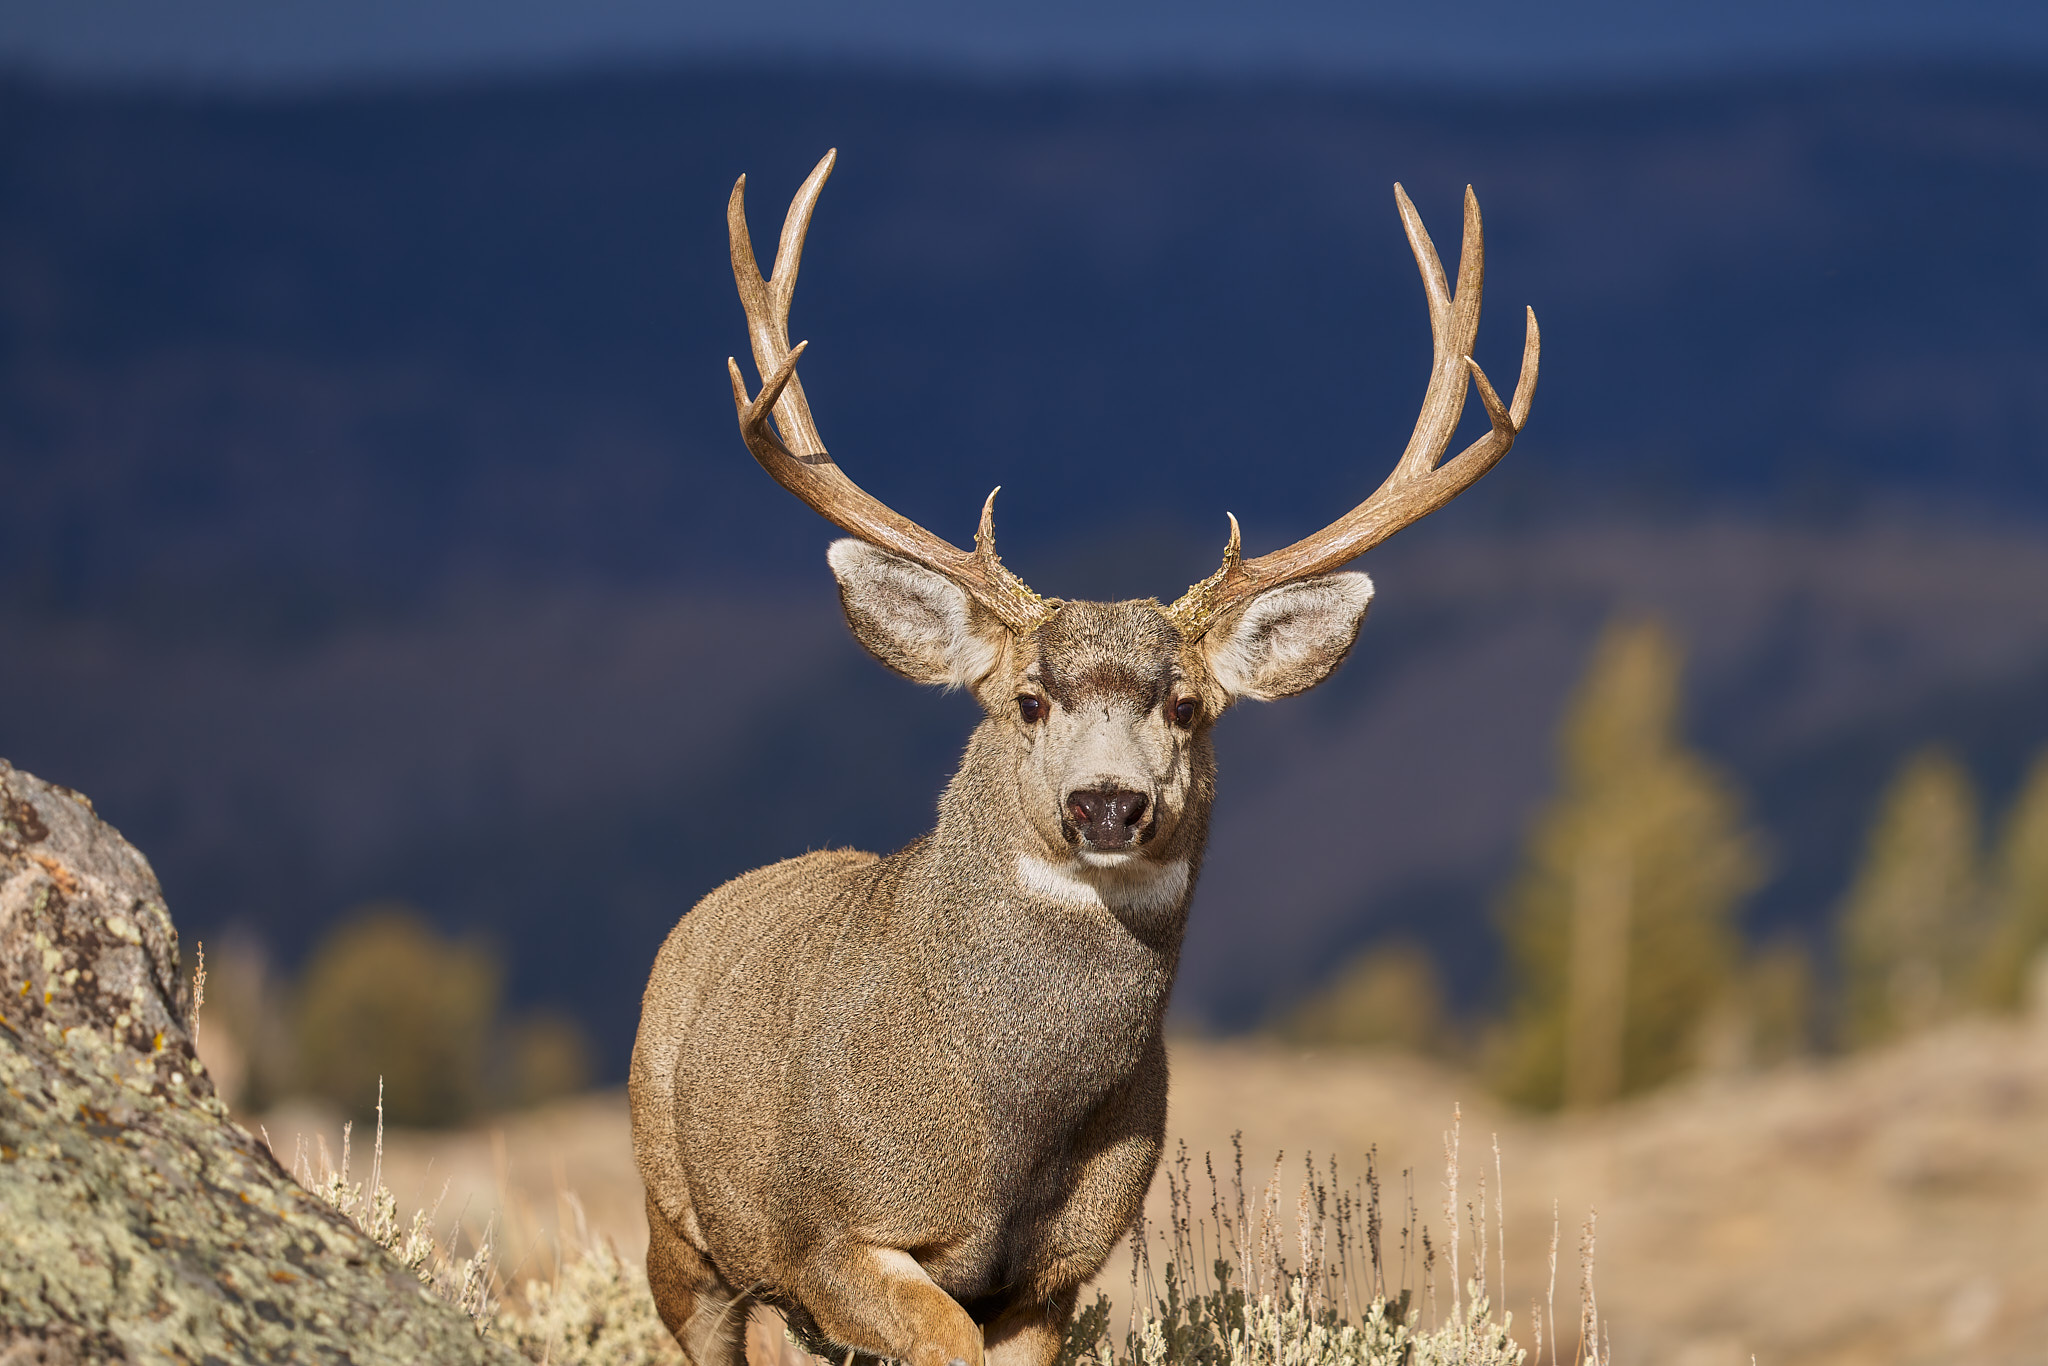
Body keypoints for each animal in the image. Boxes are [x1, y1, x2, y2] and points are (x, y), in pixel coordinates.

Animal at [629, 150, 1538, 1366]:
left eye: (1189, 706)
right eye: (1026, 700)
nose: (1108, 803)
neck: (1011, 1126)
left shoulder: (1058, 1269)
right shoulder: (831, 1234)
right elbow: (931, 1333)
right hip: (682, 1233)